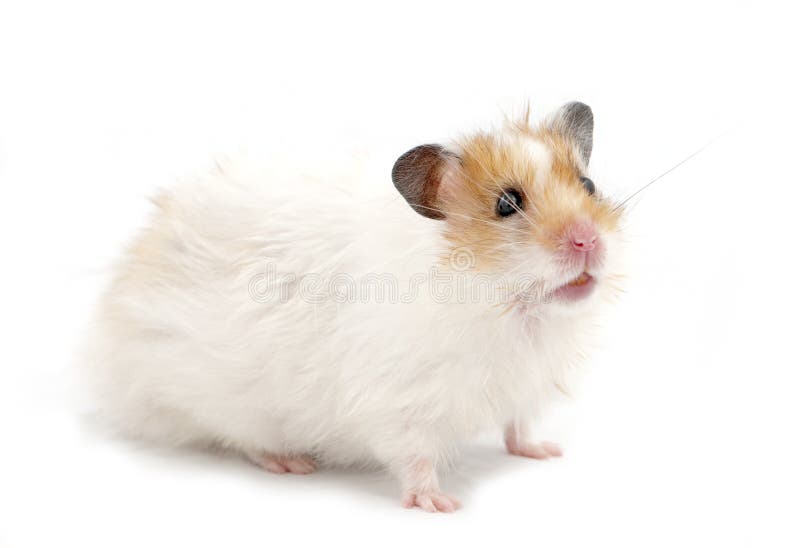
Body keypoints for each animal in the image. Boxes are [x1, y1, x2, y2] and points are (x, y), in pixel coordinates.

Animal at [84, 102, 624, 512]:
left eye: (589, 186)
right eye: (507, 205)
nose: (588, 241)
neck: (510, 308)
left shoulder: (525, 386)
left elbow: (520, 425)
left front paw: (544, 452)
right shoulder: (399, 403)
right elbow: (413, 458)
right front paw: (440, 504)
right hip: (221, 397)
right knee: (241, 436)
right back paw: (291, 462)